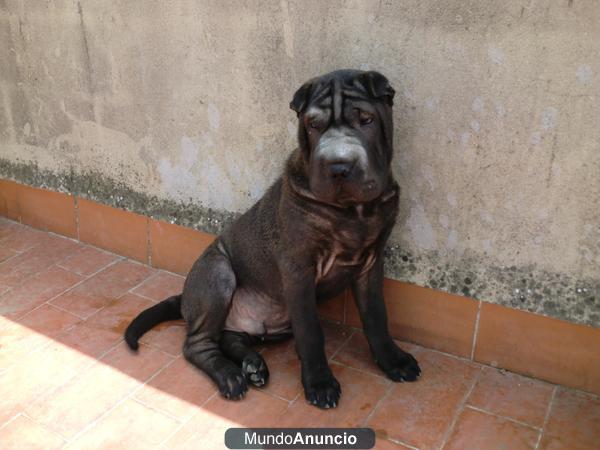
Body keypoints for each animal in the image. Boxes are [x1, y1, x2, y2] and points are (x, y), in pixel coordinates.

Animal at [124, 69, 420, 408]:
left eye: (366, 120)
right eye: (313, 125)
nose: (338, 166)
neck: (352, 211)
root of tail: (185, 299)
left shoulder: (371, 263)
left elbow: (376, 317)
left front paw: (393, 360)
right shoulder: (299, 269)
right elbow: (311, 331)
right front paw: (320, 383)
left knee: (230, 337)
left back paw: (252, 364)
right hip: (218, 273)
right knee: (197, 344)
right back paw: (231, 375)